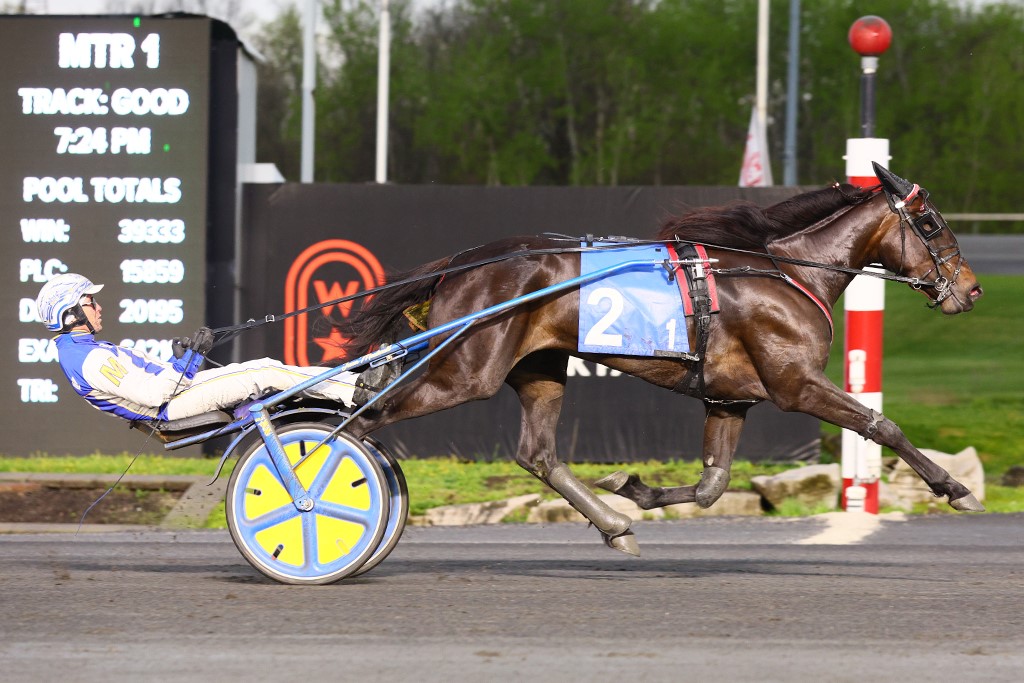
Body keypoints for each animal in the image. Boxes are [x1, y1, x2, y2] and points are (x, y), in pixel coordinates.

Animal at [339, 165, 987, 557]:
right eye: (931, 222)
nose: (972, 289)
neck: (787, 274)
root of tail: (458, 264)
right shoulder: (795, 384)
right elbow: (882, 424)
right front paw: (956, 488)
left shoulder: (730, 397)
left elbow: (711, 485)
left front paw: (634, 488)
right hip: (466, 370)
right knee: (365, 420)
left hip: (538, 368)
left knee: (538, 455)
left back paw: (615, 526)